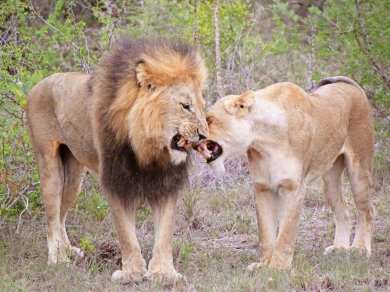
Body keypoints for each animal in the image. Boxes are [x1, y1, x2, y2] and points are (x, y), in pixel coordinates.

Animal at [27, 37, 209, 282]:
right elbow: (125, 233)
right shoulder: (116, 181)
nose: (204, 135)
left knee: (61, 213)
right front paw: (132, 273)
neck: (148, 146)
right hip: (48, 164)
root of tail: (37, 85)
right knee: (51, 216)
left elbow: (165, 232)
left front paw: (164, 274)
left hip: (74, 176)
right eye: (185, 105)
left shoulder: (166, 182)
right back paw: (58, 259)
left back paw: (69, 250)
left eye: (201, 105)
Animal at [198, 77, 374, 270]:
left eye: (210, 120)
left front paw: (278, 267)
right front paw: (263, 265)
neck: (264, 141)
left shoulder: (294, 188)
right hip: (330, 180)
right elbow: (266, 232)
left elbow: (285, 233)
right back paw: (340, 248)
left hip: (359, 168)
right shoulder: (263, 188)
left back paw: (359, 249)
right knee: (343, 210)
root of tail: (354, 87)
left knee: (366, 210)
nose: (194, 137)